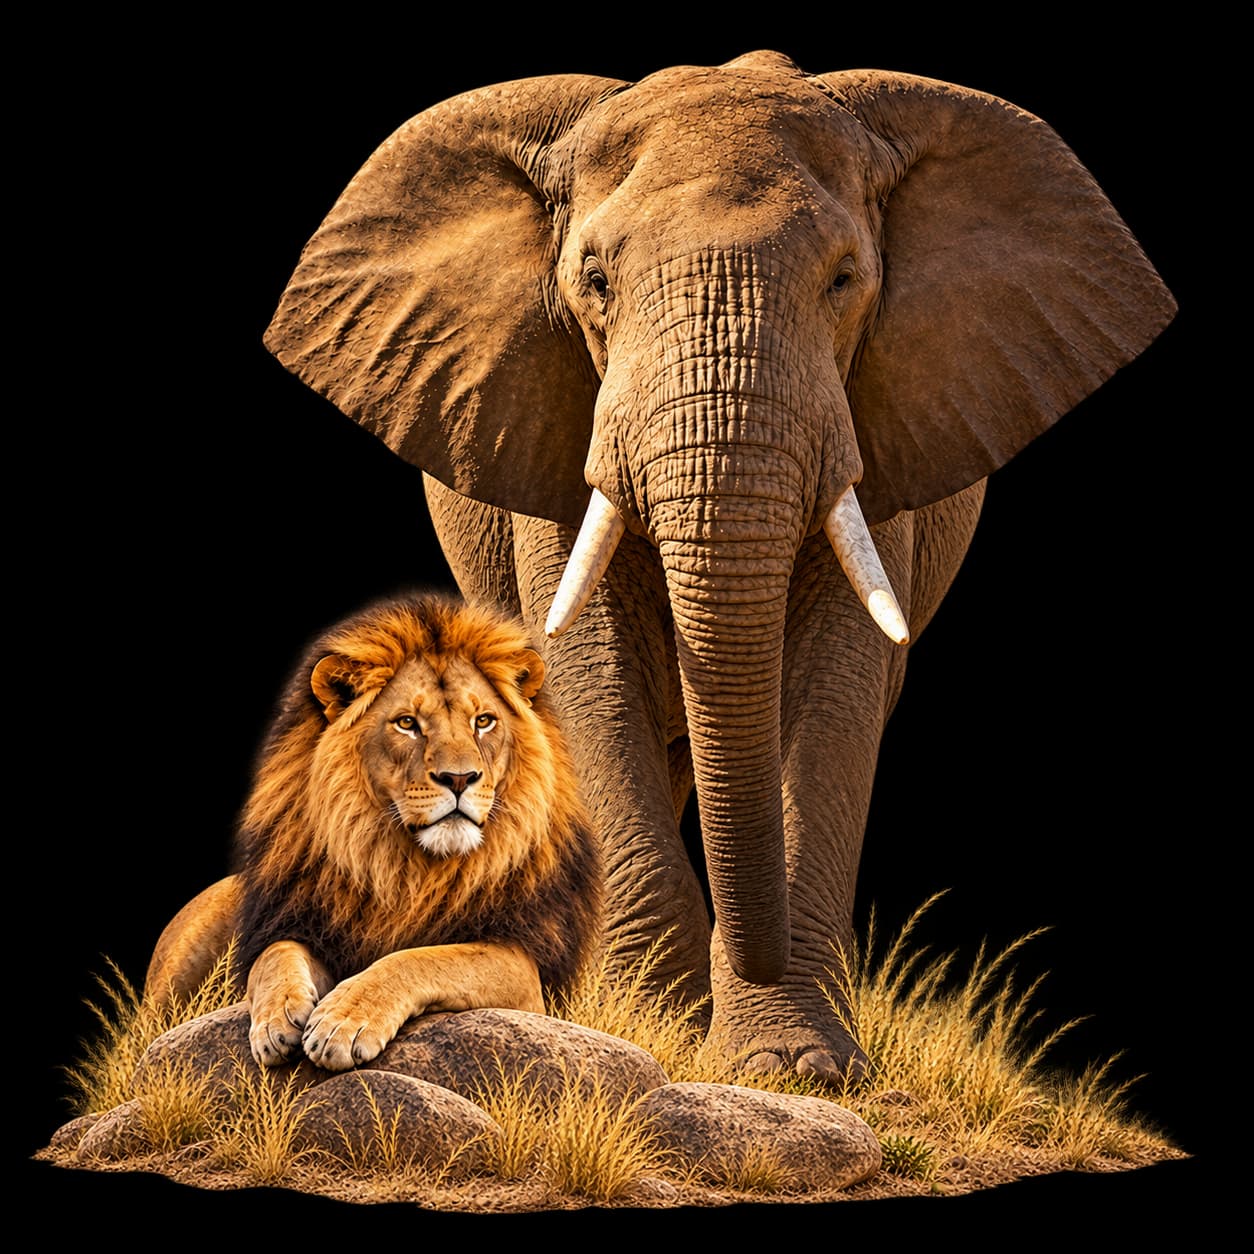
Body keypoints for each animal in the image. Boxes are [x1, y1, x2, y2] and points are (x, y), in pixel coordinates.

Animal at [144, 592, 601, 1072]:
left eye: (484, 721)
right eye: (407, 723)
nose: (459, 778)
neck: (406, 866)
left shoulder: (524, 967)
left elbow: (423, 959)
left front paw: (342, 1021)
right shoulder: (301, 923)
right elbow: (274, 955)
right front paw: (275, 1019)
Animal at [262, 51, 1175, 1082]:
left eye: (846, 279)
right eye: (594, 279)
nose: (752, 955)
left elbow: (836, 685)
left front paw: (791, 1069)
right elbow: (591, 673)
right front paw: (640, 1033)